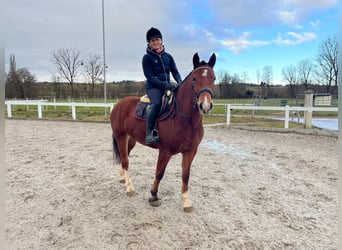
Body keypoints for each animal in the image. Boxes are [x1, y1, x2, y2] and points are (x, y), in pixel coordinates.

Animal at [110, 52, 216, 211]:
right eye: (194, 78)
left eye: (214, 78)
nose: (205, 105)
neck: (185, 118)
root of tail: (119, 104)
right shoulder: (165, 150)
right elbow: (159, 173)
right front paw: (153, 196)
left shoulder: (190, 151)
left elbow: (186, 175)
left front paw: (186, 201)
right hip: (120, 136)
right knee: (125, 160)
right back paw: (129, 188)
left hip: (131, 139)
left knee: (124, 158)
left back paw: (123, 178)